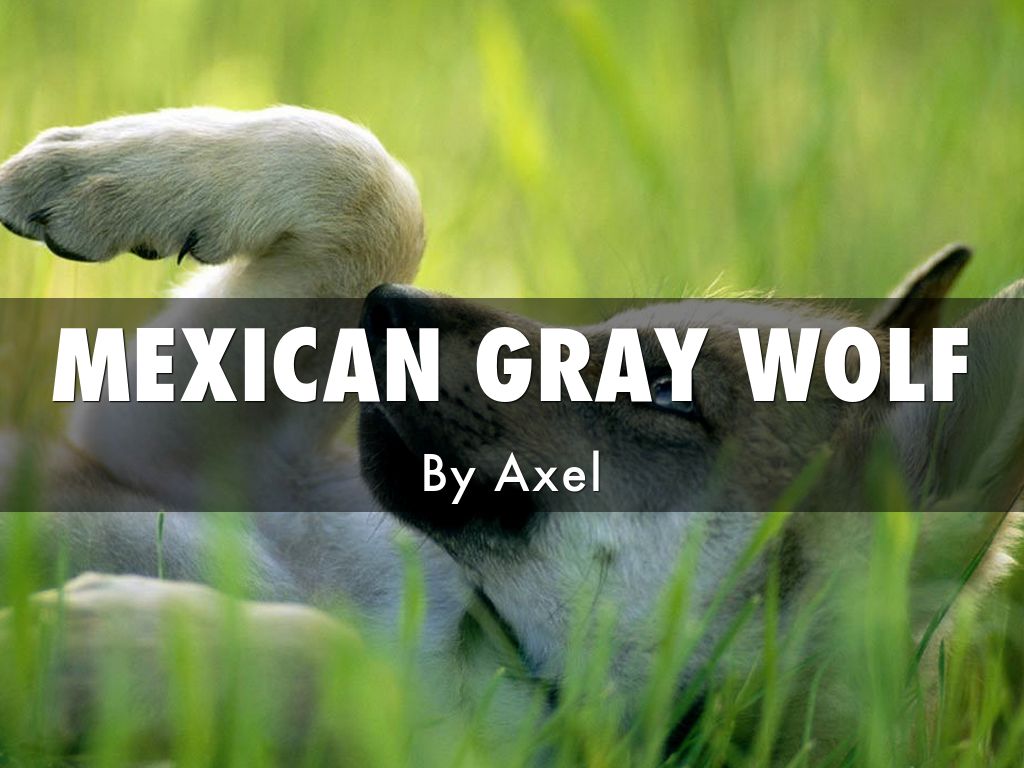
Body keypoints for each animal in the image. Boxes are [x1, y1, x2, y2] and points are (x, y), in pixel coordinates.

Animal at [0, 107, 1021, 762]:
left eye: (663, 388)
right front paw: (92, 171)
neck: (485, 636)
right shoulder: (168, 451)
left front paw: (106, 644)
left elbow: (340, 670)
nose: (389, 308)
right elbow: (369, 174)